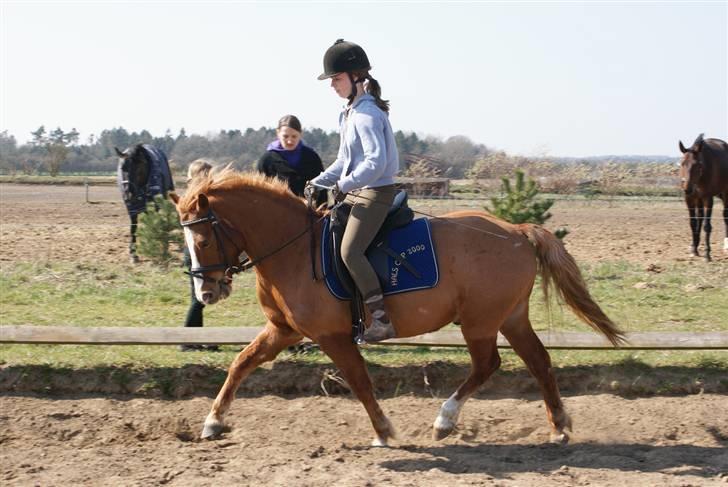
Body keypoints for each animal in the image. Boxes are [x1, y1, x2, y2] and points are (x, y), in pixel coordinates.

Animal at [676, 133, 728, 264]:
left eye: (698, 165)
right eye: (682, 163)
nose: (688, 188)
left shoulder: (707, 199)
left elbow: (707, 226)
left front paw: (707, 254)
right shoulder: (689, 199)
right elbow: (693, 223)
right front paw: (694, 249)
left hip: (725, 193)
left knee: (725, 215)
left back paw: (726, 245)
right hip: (698, 200)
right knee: (699, 218)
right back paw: (695, 245)